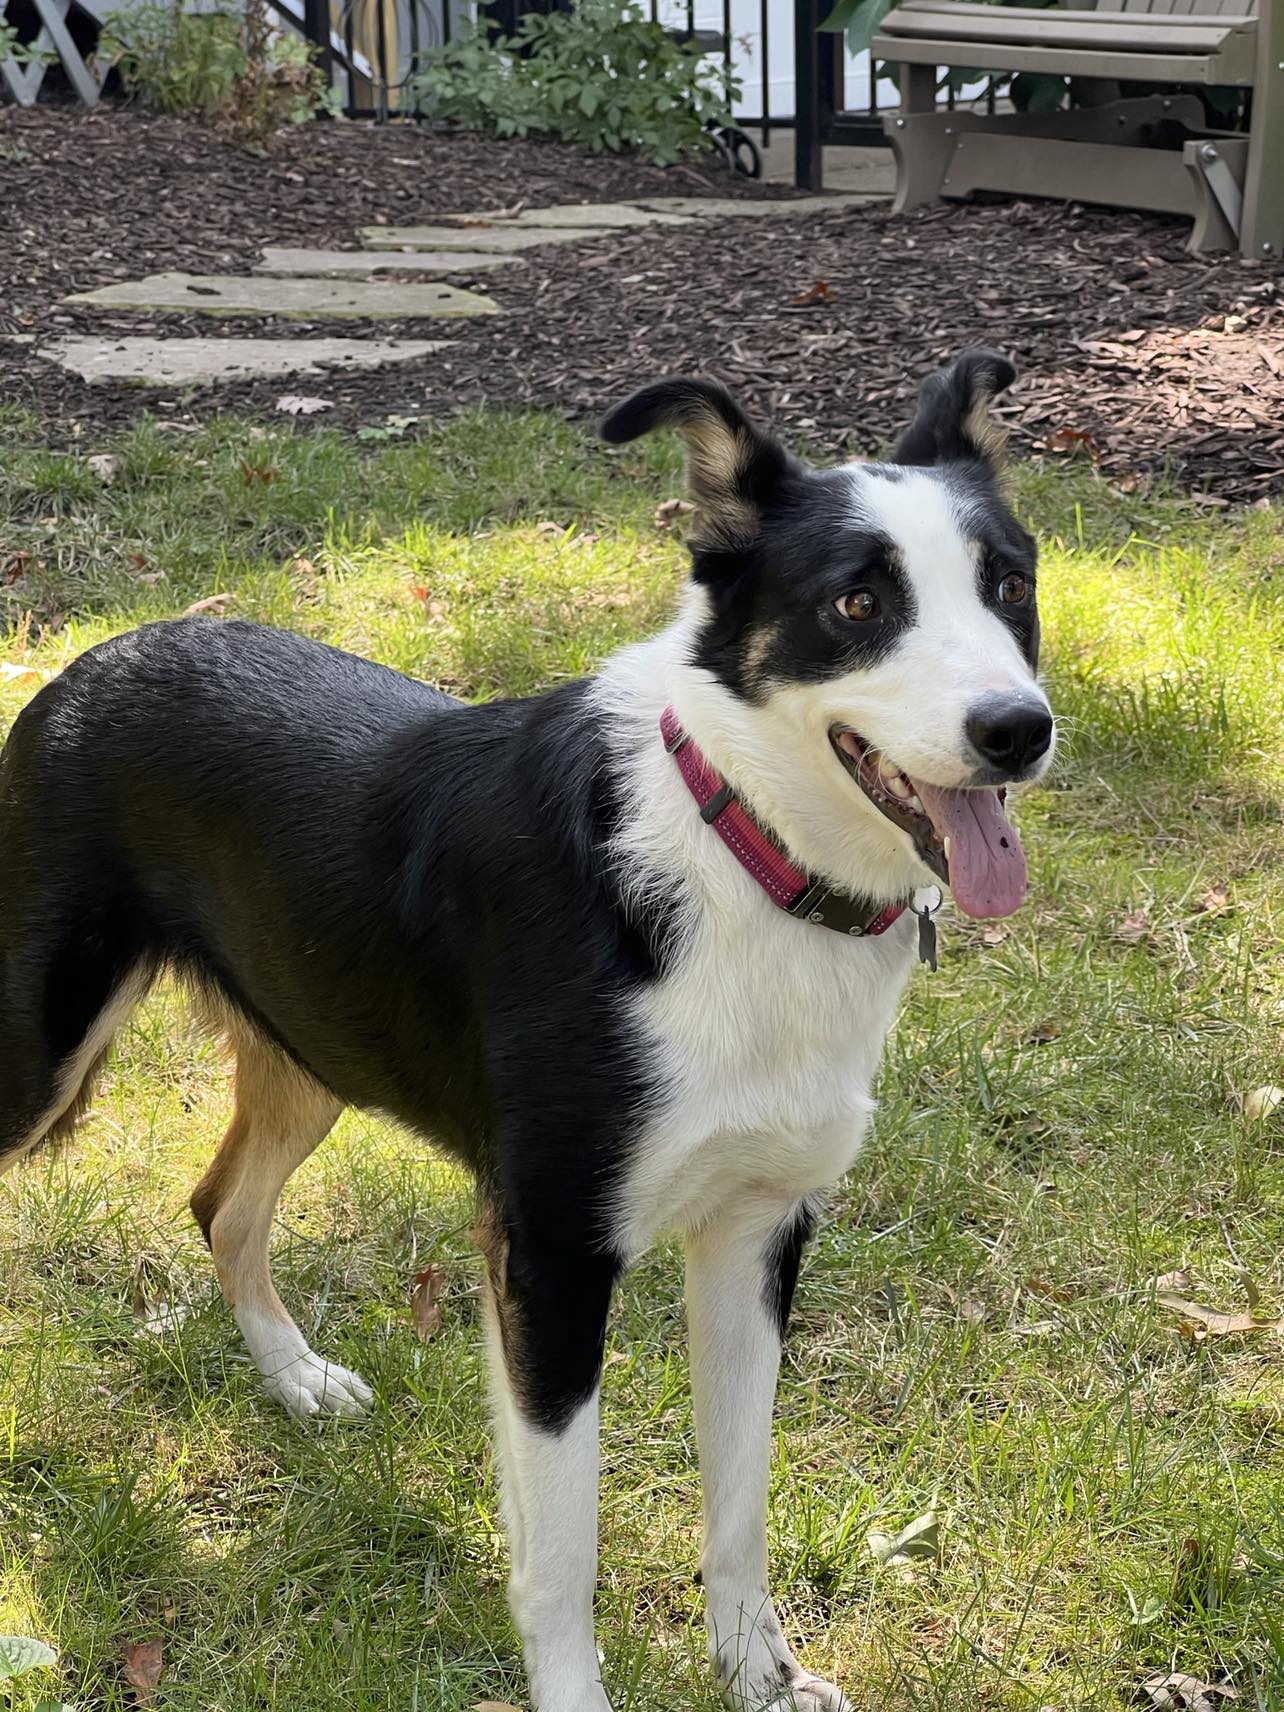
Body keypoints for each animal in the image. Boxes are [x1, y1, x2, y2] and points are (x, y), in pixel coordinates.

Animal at [0, 350, 1054, 1712]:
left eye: (1010, 583)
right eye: (860, 600)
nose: (1018, 730)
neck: (739, 850)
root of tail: (90, 661)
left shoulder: (756, 1231)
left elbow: (741, 1501)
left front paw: (760, 1675)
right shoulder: (549, 1254)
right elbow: (563, 1545)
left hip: (314, 1045)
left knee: (222, 1205)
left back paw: (295, 1376)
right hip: (42, 1042)